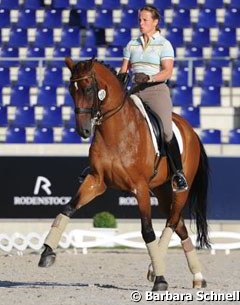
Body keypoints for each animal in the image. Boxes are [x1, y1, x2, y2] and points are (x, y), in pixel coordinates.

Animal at [39, 57, 210, 290]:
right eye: (70, 90)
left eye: (89, 88)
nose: (83, 131)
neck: (116, 131)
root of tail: (191, 130)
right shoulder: (96, 180)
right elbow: (67, 209)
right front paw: (47, 252)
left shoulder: (140, 188)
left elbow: (147, 231)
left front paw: (161, 280)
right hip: (162, 190)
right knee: (179, 225)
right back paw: (194, 275)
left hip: (180, 189)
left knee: (172, 221)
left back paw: (159, 270)